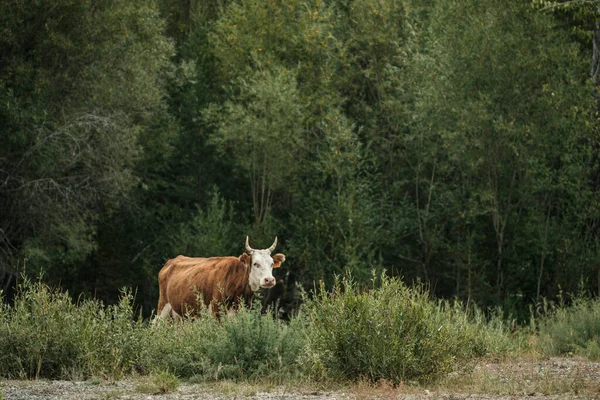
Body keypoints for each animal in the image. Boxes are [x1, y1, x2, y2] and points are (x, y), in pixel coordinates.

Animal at [155, 234, 286, 322]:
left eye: (271, 264)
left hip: (180, 314)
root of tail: (172, 261)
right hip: (163, 306)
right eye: (256, 264)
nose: (269, 280)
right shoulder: (216, 311)